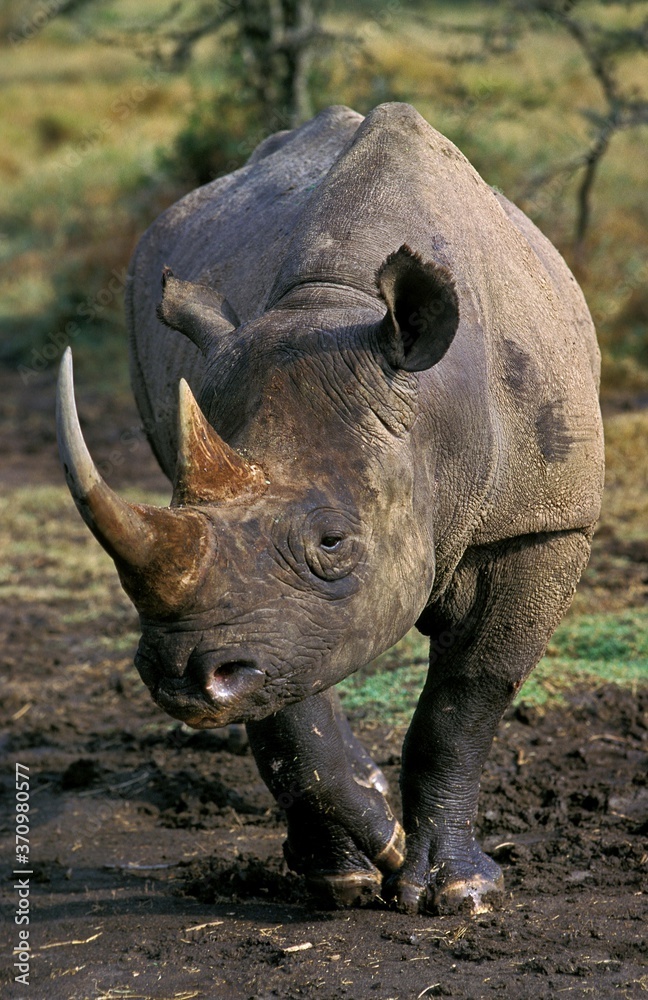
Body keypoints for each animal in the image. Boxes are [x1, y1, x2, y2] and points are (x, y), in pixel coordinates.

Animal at [57, 103, 604, 915]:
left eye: (334, 543)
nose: (182, 677)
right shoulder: (261, 616)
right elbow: (285, 686)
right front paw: (363, 865)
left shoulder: (541, 525)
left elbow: (466, 699)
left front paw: (460, 894)